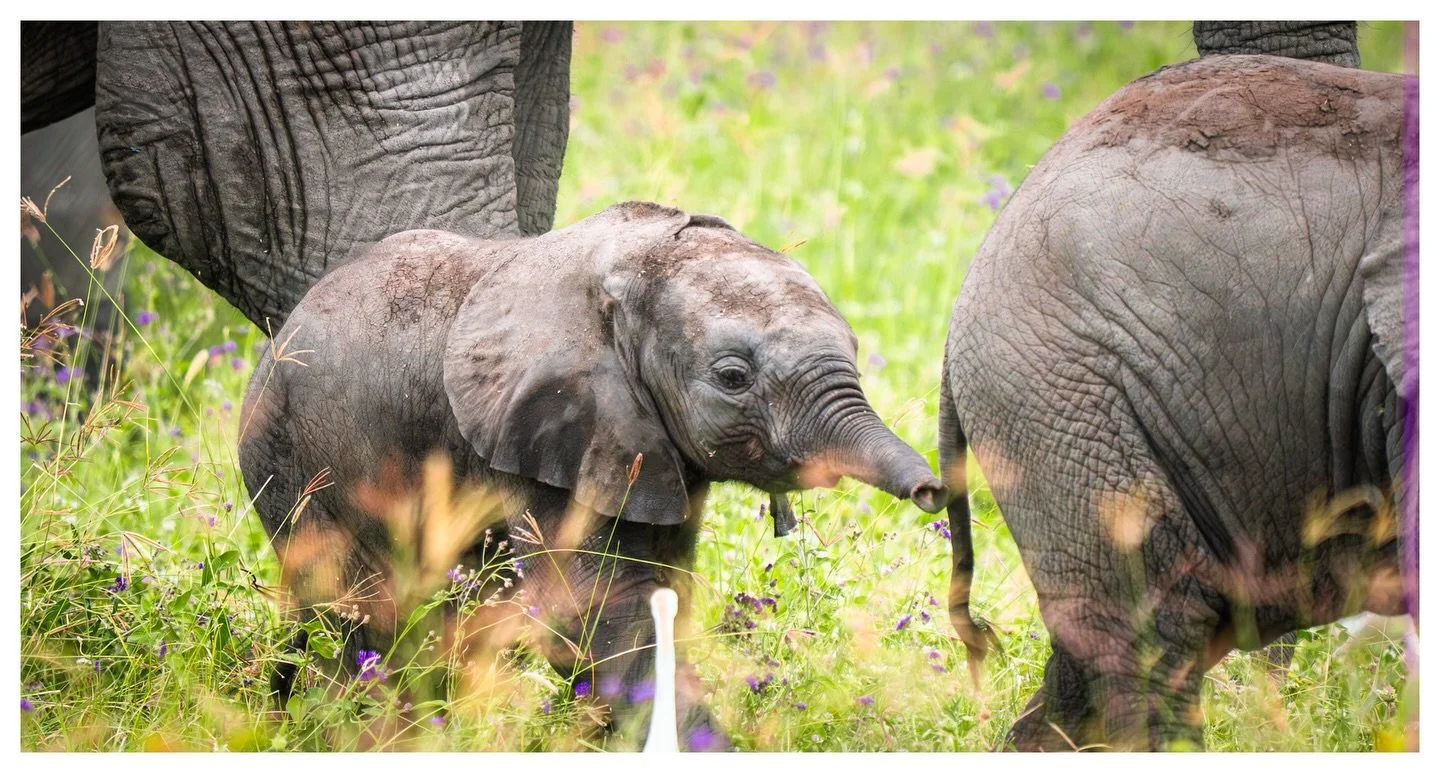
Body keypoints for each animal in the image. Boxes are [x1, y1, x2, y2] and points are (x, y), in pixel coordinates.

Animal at [239, 201, 947, 750]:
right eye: (733, 378)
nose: (932, 490)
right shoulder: (544, 434)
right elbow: (596, 608)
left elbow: (661, 592)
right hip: (294, 463)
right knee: (363, 618)